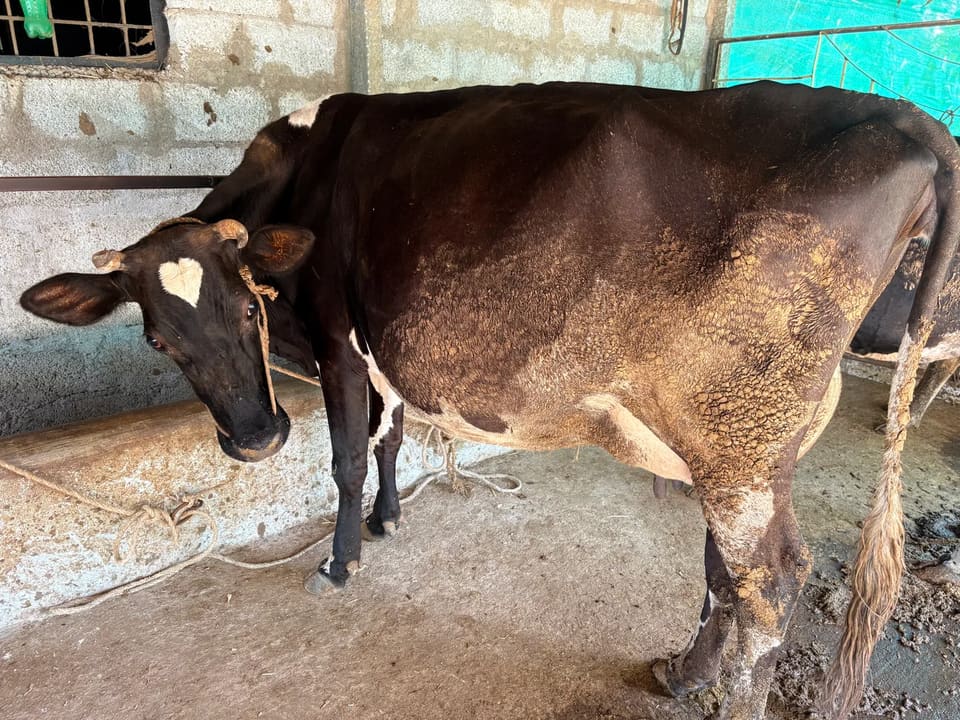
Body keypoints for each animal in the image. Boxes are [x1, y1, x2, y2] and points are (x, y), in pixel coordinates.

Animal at [19, 81, 960, 720]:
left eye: (248, 308)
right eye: (156, 339)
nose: (254, 439)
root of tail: (906, 118)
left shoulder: (338, 340)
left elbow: (347, 456)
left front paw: (339, 562)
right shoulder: (386, 349)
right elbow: (393, 439)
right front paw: (390, 520)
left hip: (739, 435)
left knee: (770, 579)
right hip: (744, 440)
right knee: (728, 571)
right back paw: (680, 672)